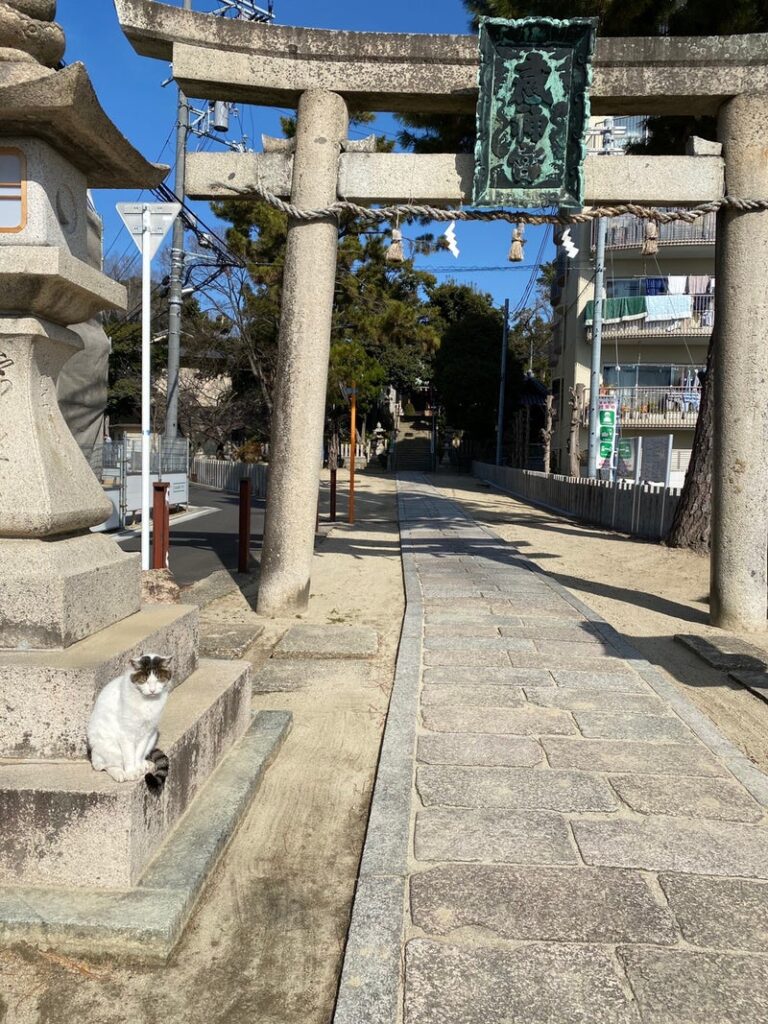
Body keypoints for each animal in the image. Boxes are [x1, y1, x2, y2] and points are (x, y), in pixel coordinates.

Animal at [88, 651, 174, 786]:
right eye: (144, 680)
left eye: (159, 679)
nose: (152, 690)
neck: (148, 703)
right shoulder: (126, 734)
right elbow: (129, 756)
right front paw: (131, 772)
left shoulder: (147, 732)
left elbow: (138, 753)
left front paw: (138, 767)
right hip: (108, 747)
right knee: (105, 765)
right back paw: (120, 774)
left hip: (153, 736)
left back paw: (145, 764)